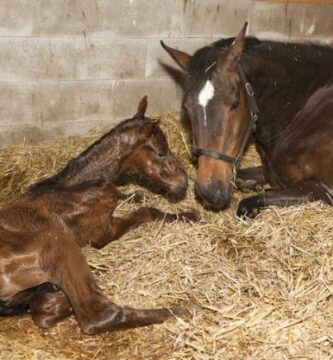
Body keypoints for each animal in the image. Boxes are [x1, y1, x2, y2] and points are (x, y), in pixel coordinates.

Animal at [0, 97, 197, 334]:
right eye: (161, 152)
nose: (183, 184)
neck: (76, 188)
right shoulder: (104, 232)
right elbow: (148, 212)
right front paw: (191, 215)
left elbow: (130, 197)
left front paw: (137, 195)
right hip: (56, 242)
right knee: (98, 315)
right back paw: (187, 309)